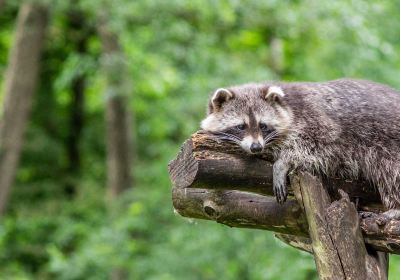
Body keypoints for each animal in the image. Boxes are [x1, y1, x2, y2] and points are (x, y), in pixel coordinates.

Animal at [202, 79, 400, 219]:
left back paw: (395, 208)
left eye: (263, 125)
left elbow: (320, 147)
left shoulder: (320, 123)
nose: (256, 147)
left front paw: (283, 162)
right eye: (241, 126)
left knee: (390, 171)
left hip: (388, 143)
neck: (287, 105)